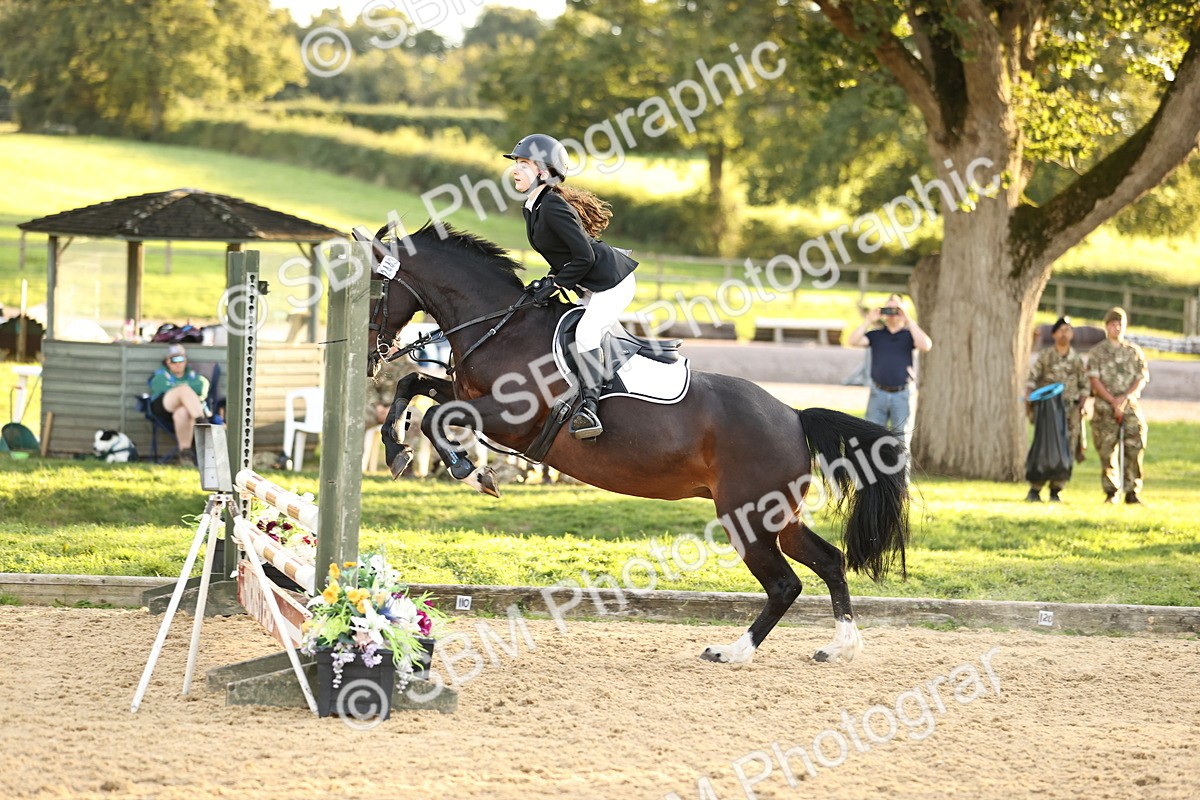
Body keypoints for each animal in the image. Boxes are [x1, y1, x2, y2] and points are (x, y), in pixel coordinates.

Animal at [364, 222, 910, 665]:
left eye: (372, 289)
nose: (371, 356)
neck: (500, 326)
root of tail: (794, 417)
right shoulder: (470, 397)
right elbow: (415, 386)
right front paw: (397, 450)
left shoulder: (509, 419)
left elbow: (436, 416)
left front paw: (472, 472)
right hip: (779, 515)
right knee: (828, 561)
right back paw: (840, 647)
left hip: (747, 516)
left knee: (784, 583)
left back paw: (732, 652)